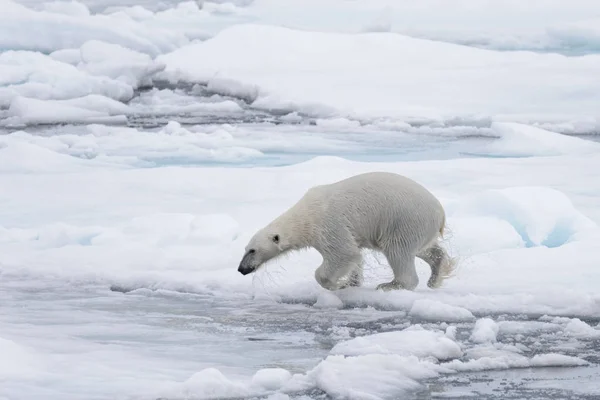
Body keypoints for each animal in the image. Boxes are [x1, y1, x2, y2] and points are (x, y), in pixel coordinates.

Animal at [237, 171, 452, 290]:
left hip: (404, 221)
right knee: (424, 249)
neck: (306, 216)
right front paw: (351, 282)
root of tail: (440, 212)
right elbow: (355, 255)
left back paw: (391, 285)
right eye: (245, 249)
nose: (241, 269)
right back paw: (437, 274)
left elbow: (344, 253)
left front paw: (337, 285)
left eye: (252, 250)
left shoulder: (329, 224)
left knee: (398, 250)